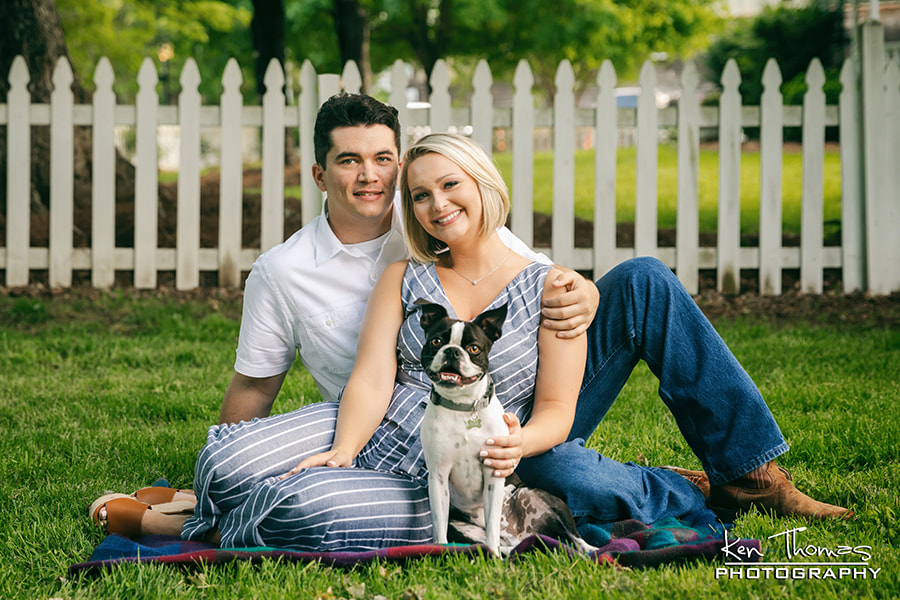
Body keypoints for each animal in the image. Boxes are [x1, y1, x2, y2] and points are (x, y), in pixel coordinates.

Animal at [418, 302, 596, 556]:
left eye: (474, 348)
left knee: (575, 537)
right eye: (436, 341)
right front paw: (441, 552)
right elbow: (439, 525)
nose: (452, 351)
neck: (464, 408)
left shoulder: (493, 470)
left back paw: (594, 551)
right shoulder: (439, 477)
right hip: (463, 529)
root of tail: (522, 535)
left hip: (536, 495)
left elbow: (492, 522)